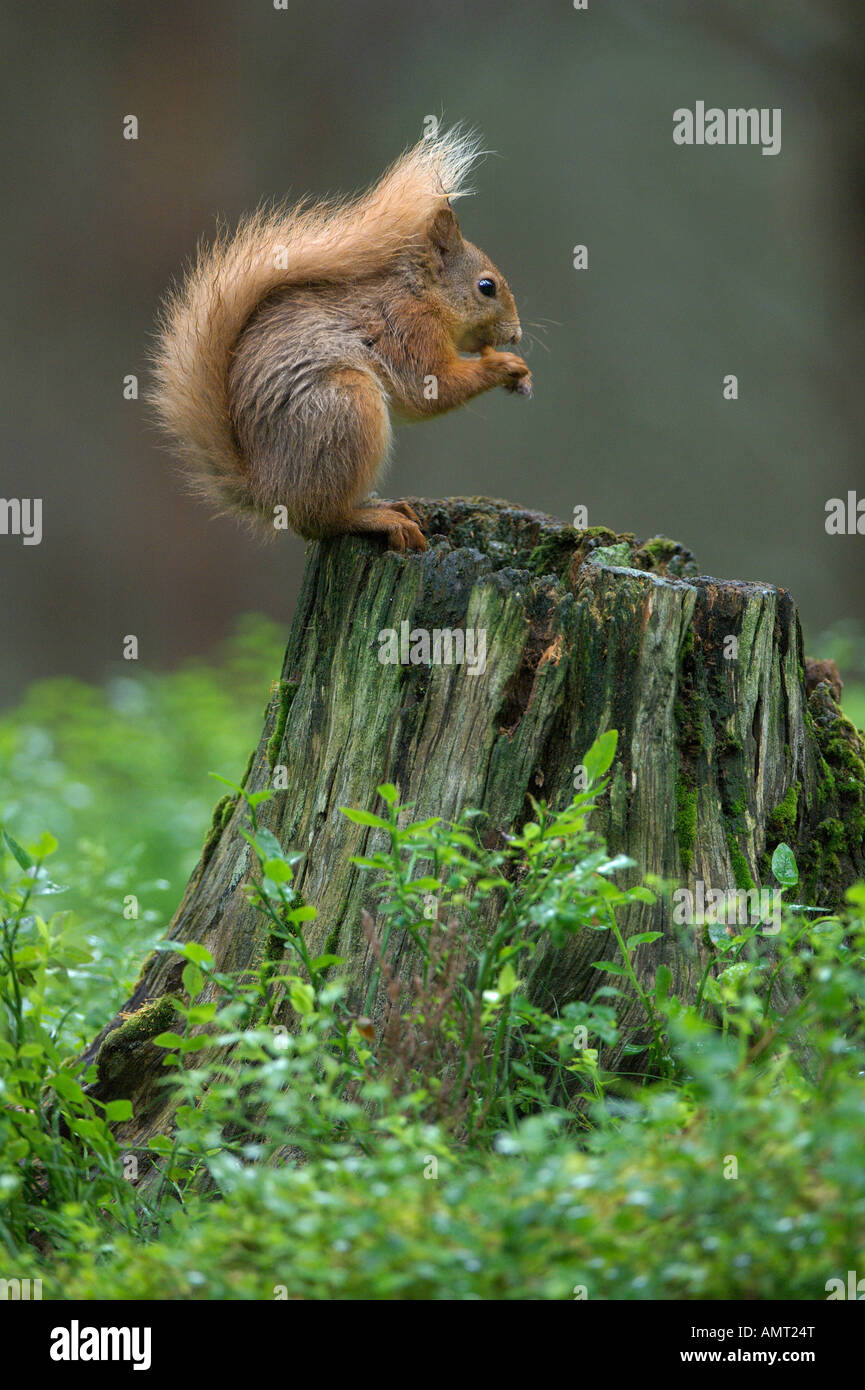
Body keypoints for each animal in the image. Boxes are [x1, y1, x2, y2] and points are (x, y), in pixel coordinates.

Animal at [150, 128, 531, 553]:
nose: (515, 334)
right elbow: (432, 388)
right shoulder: (410, 330)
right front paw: (504, 365)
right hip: (346, 408)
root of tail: (266, 490)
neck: (420, 294)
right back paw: (379, 517)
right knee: (320, 520)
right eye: (486, 287)